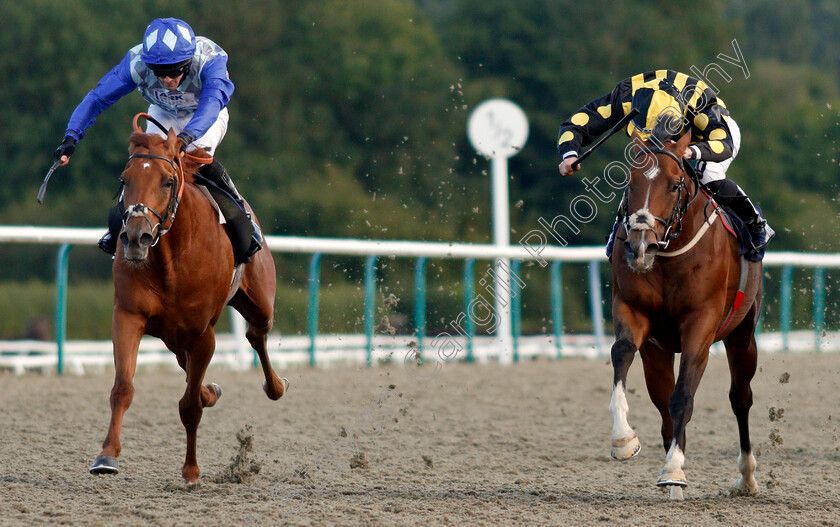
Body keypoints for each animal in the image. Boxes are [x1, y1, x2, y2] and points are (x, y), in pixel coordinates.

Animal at [87, 116, 288, 486]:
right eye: (124, 180)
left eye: (167, 181)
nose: (136, 238)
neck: (170, 257)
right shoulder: (128, 315)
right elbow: (123, 387)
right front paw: (106, 455)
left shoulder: (203, 333)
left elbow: (189, 406)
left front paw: (191, 470)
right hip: (170, 332)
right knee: (187, 362)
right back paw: (212, 390)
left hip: (259, 300)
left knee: (257, 333)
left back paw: (276, 386)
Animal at [608, 130, 764, 502]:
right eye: (630, 182)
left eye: (675, 183)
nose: (640, 247)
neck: (668, 256)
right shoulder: (632, 311)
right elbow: (621, 354)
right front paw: (624, 439)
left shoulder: (701, 323)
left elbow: (684, 396)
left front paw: (674, 469)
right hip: (657, 351)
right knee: (662, 400)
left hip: (742, 335)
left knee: (740, 399)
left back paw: (746, 477)